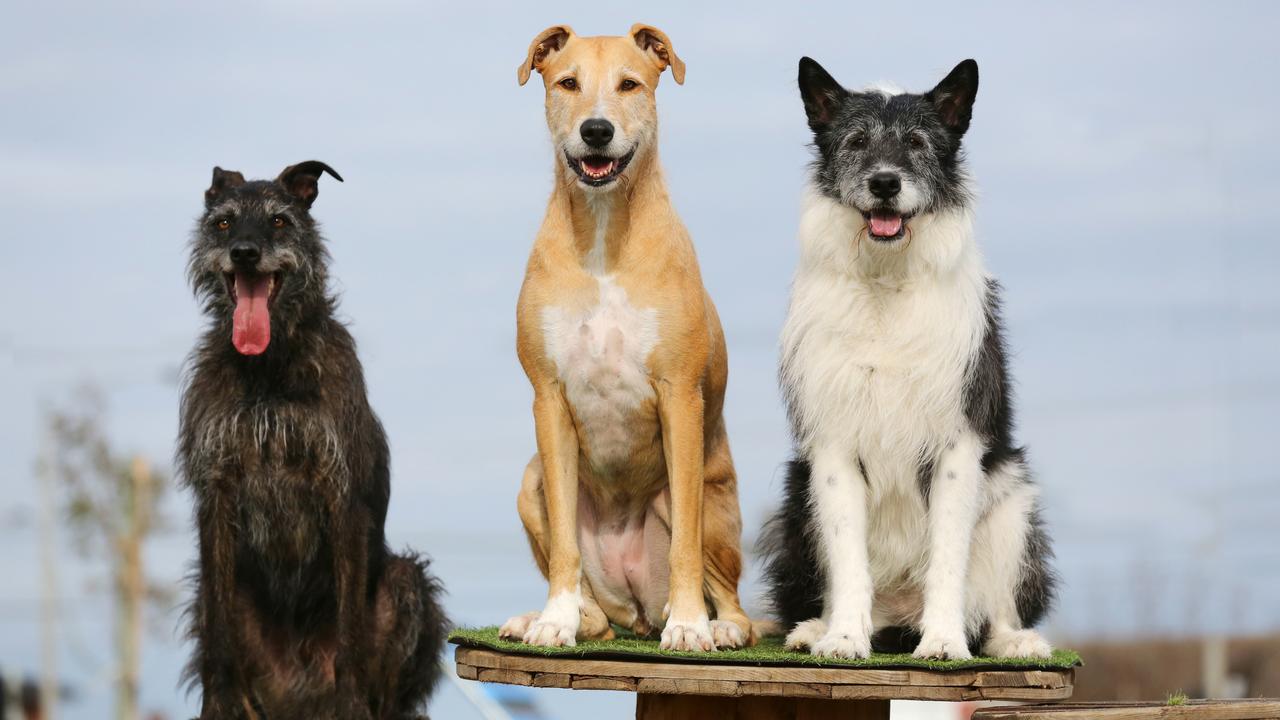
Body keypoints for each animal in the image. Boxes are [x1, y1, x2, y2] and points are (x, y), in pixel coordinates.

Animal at [180, 162, 448, 717]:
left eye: (279, 221)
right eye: (223, 223)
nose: (244, 252)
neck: (269, 370)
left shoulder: (340, 492)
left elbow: (349, 630)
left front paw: (350, 699)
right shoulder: (215, 495)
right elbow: (217, 635)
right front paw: (217, 705)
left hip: (406, 584)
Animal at [499, 23, 752, 650]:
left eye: (630, 84)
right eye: (568, 82)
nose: (596, 130)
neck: (604, 230)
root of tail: (636, 606)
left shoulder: (680, 397)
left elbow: (684, 542)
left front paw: (688, 625)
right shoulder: (549, 400)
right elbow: (565, 548)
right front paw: (555, 620)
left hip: (716, 504)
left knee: (736, 603)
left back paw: (715, 625)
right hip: (530, 483)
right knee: (597, 611)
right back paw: (547, 618)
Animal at [762, 58, 1054, 661]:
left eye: (917, 142)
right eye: (855, 141)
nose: (885, 183)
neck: (887, 281)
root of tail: (898, 616)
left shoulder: (956, 447)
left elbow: (947, 557)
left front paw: (943, 642)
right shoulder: (833, 447)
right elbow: (849, 559)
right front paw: (843, 638)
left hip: (1014, 503)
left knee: (994, 608)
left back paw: (1012, 641)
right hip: (797, 499)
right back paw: (817, 628)